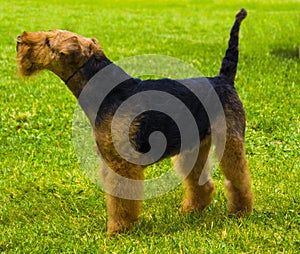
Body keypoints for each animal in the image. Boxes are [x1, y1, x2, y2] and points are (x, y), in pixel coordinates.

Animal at [17, 8, 253, 235]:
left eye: (49, 42)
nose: (19, 38)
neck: (108, 92)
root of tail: (223, 79)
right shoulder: (109, 161)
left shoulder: (122, 163)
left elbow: (121, 201)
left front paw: (118, 229)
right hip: (194, 146)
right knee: (200, 182)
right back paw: (192, 210)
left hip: (229, 141)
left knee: (239, 177)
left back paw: (240, 212)